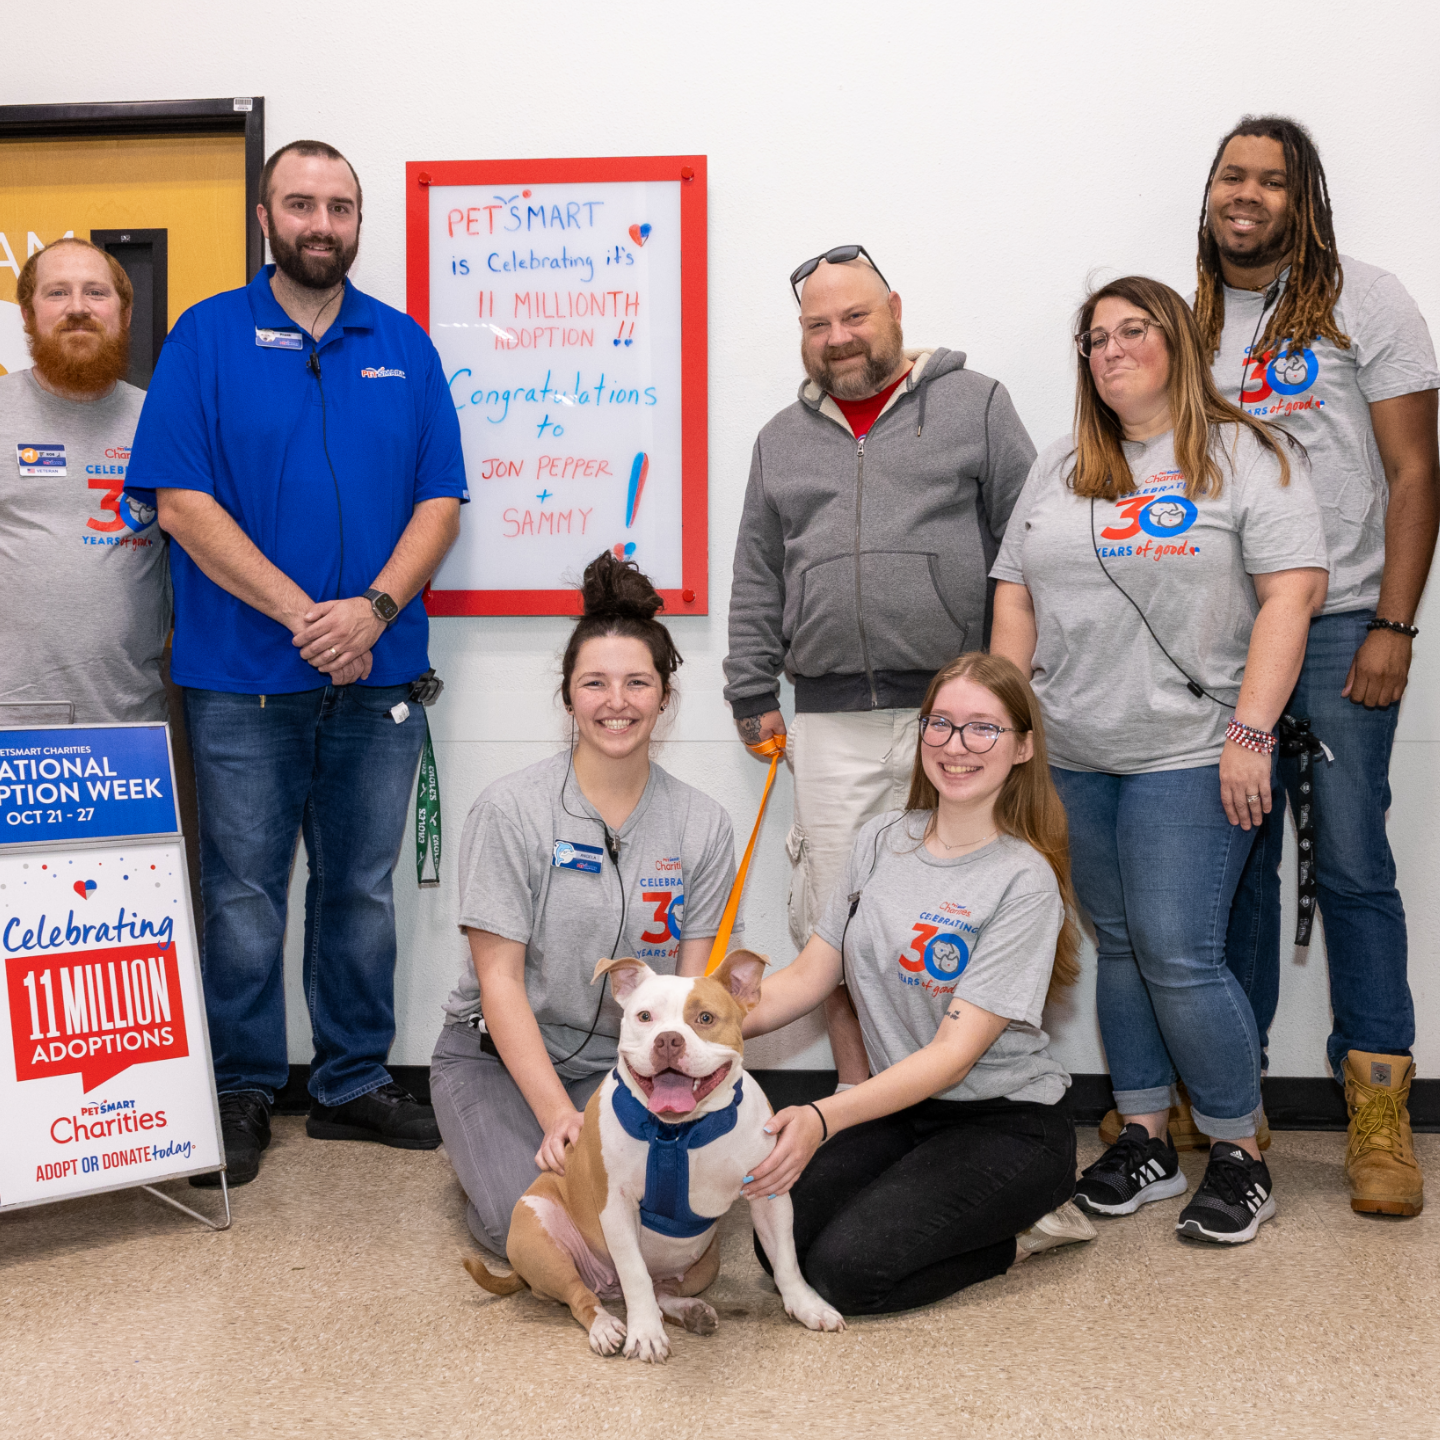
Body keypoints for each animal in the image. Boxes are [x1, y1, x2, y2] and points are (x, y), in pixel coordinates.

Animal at [463, 950, 840, 1353]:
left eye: (705, 1018)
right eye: (645, 1017)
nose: (669, 1040)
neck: (677, 1131)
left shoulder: (769, 1194)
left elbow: (786, 1260)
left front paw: (806, 1305)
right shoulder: (616, 1207)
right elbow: (635, 1275)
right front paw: (644, 1332)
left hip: (705, 1264)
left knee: (662, 1291)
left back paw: (690, 1312)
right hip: (542, 1244)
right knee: (582, 1296)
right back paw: (605, 1326)